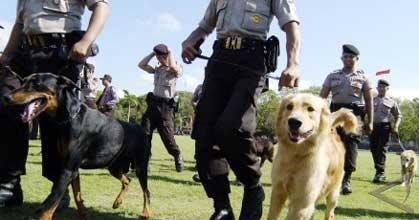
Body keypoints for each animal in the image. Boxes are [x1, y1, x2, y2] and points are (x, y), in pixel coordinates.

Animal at [4, 73, 152, 220]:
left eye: (36, 84)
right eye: (23, 81)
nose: (6, 97)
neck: (70, 118)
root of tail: (142, 130)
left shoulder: (68, 169)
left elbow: (52, 203)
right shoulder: (72, 168)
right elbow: (77, 195)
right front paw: (84, 214)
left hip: (140, 166)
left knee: (146, 191)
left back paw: (146, 213)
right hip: (113, 166)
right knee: (127, 180)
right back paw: (117, 202)